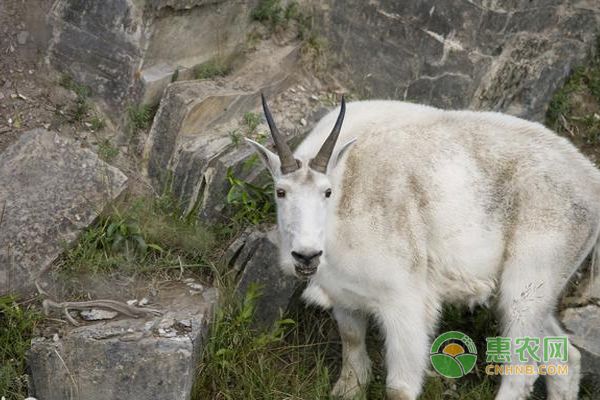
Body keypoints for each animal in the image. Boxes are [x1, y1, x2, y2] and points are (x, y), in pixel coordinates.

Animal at [245, 94, 596, 400]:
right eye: (280, 191)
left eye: (327, 192)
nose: (306, 255)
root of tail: (591, 180)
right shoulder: (344, 294)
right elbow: (352, 348)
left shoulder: (405, 300)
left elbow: (399, 388)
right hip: (534, 290)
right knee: (565, 357)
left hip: (531, 274)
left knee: (522, 369)